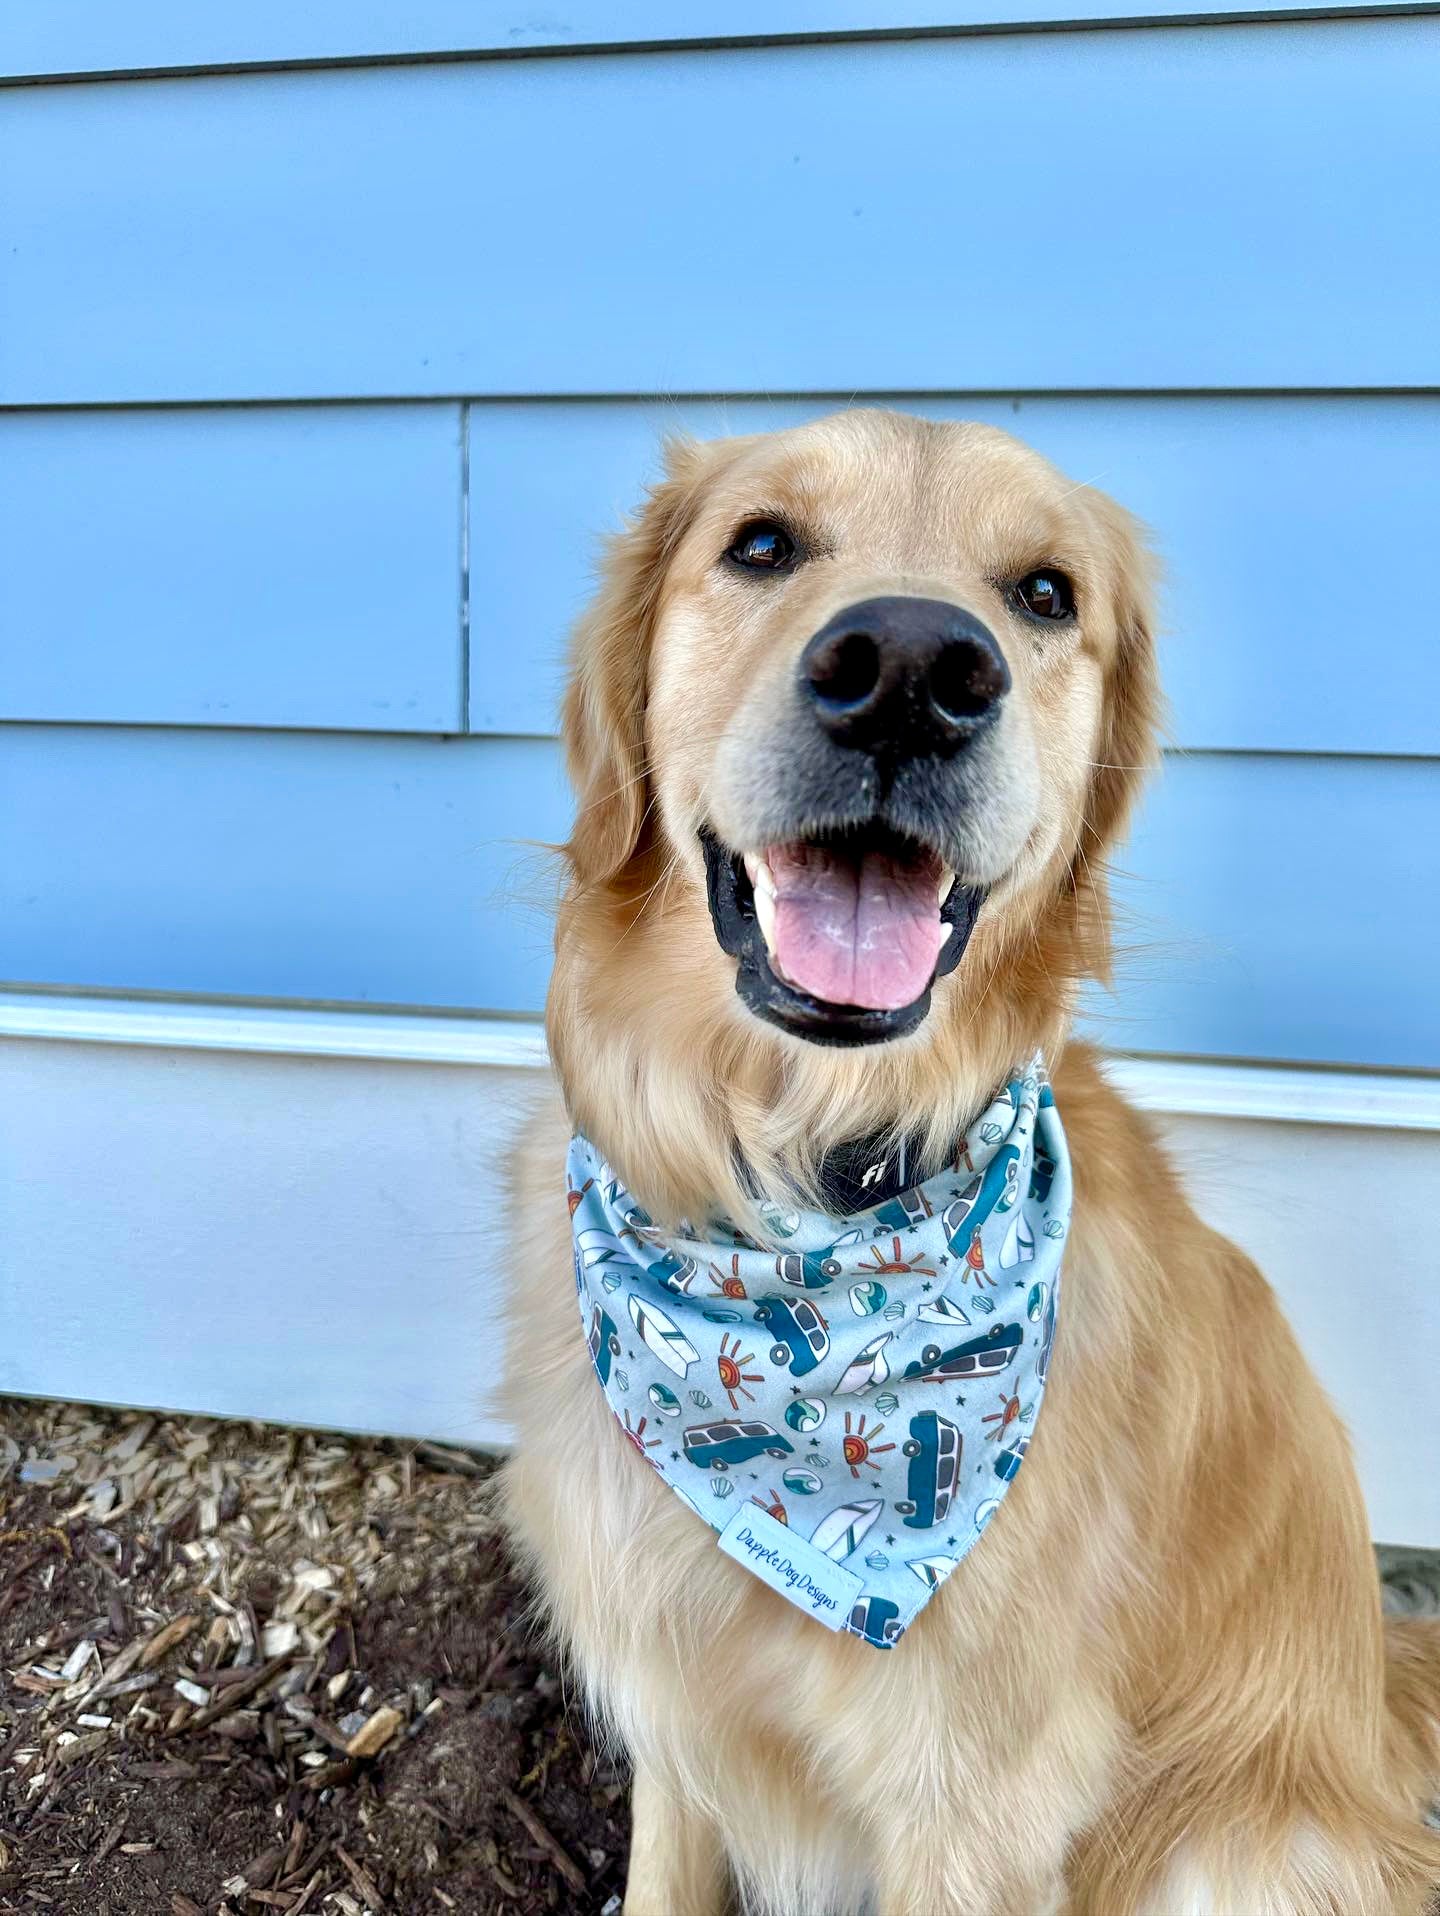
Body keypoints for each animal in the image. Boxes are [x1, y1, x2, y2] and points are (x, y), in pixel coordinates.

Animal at [497, 408, 1440, 1916]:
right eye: (761, 543)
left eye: (1046, 593)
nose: (910, 673)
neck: (804, 1197)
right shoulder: (676, 1715)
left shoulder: (977, 1808)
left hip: (1236, 1852)